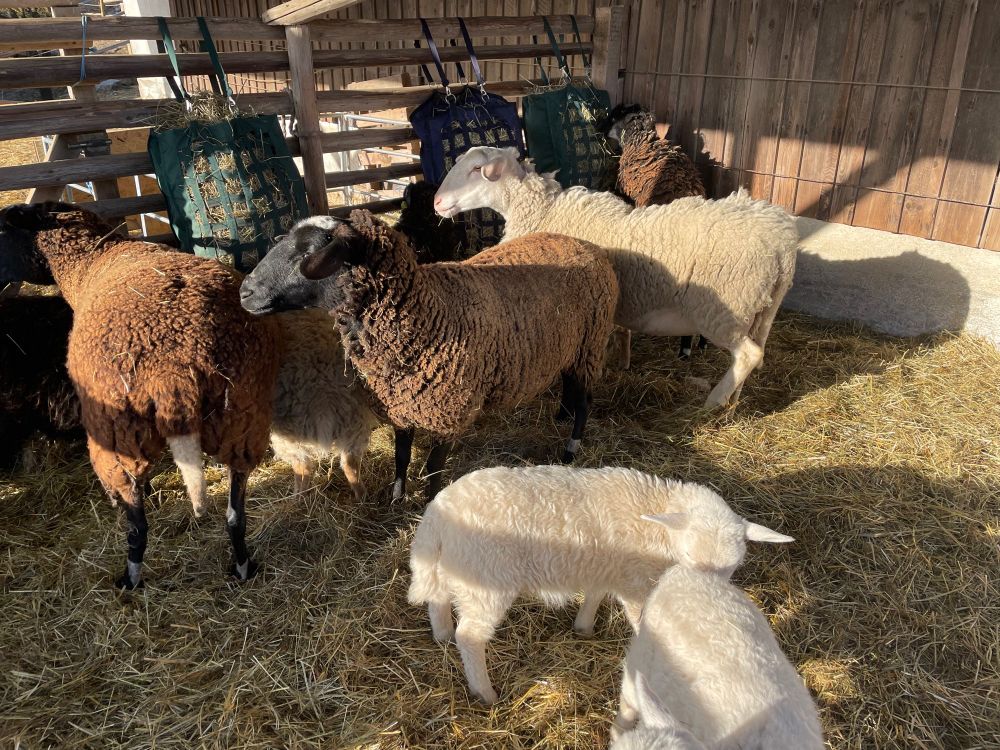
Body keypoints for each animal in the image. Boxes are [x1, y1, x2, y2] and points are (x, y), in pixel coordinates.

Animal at [406, 465, 794, 705]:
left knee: (438, 600)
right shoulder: (636, 584)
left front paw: (584, 627)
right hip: (486, 579)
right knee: (470, 636)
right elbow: (641, 622)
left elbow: (594, 594)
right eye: (687, 555)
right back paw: (484, 692)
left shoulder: (608, 567)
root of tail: (437, 512)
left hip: (455, 567)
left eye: (733, 567)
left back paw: (441, 636)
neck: (658, 523)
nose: (704, 600)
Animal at [433, 146, 800, 409]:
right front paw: (620, 361)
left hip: (726, 309)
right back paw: (732, 401)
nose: (436, 202)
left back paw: (713, 402)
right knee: (753, 355)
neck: (543, 211)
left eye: (476, 170)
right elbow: (620, 333)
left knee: (748, 355)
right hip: (760, 311)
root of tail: (783, 242)